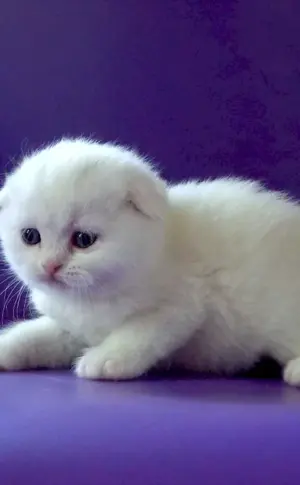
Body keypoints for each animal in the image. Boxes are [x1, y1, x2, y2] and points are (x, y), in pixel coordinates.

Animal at [1, 138, 300, 384]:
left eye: (84, 240)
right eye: (30, 236)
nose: (50, 265)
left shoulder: (181, 306)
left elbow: (136, 333)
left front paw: (105, 359)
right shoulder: (72, 328)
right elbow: (34, 335)